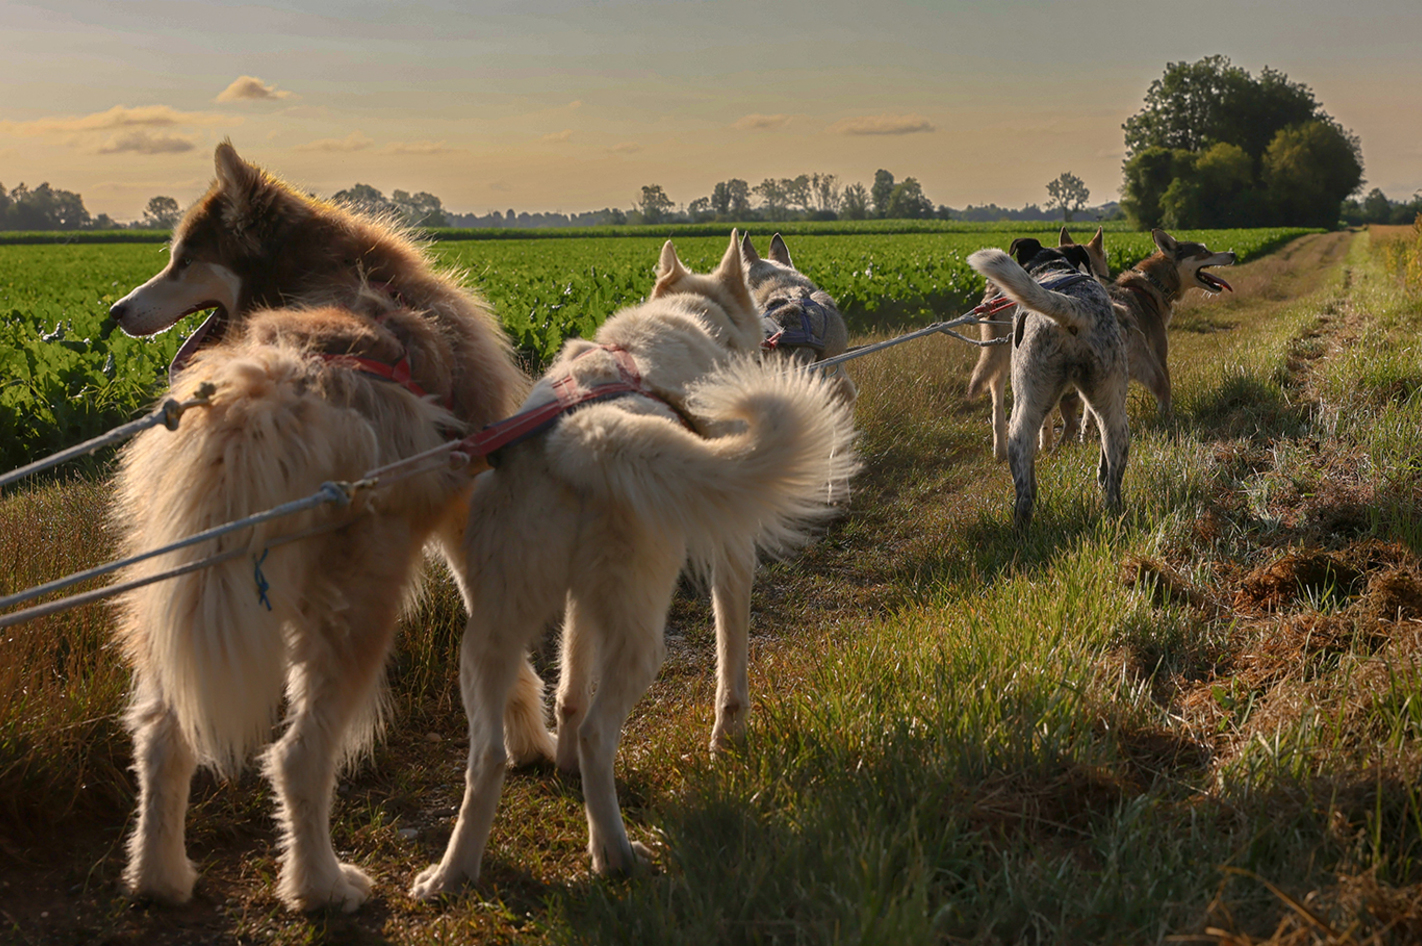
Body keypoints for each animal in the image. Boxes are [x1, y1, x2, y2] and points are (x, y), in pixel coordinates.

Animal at [961, 237, 1126, 532]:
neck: (1053, 268)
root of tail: (1073, 308)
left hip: (1023, 413)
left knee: (1024, 492)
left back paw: (1020, 531)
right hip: (1114, 414)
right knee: (1112, 478)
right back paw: (1111, 514)